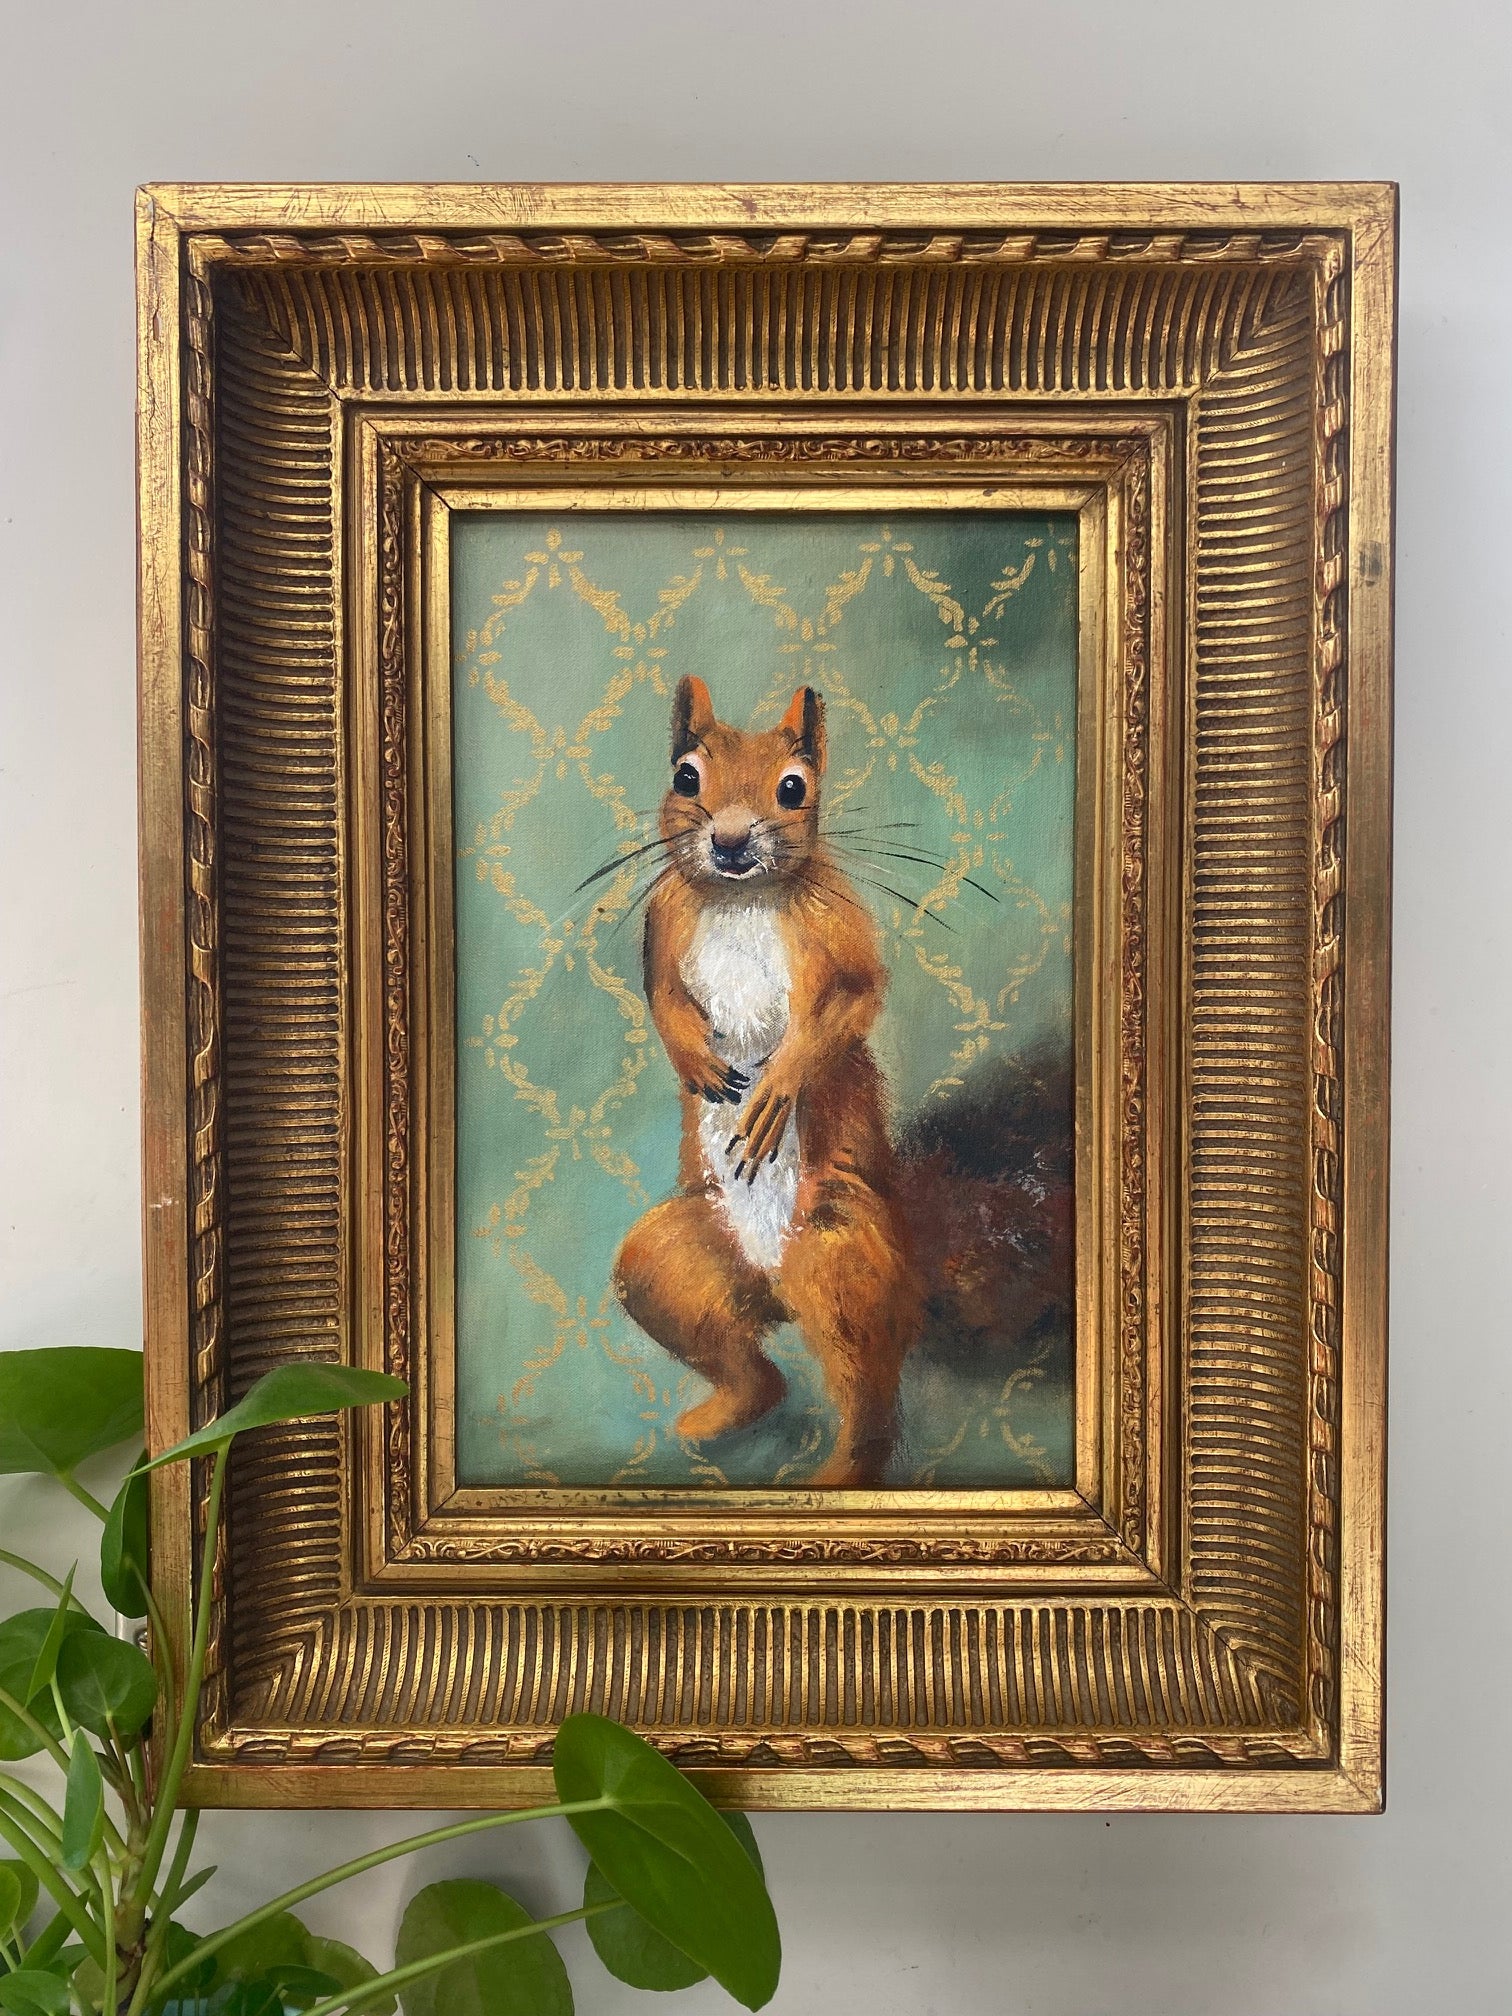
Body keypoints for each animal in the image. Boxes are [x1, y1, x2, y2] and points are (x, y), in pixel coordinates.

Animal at [612, 675, 922, 1488]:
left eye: (793, 788)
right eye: (686, 776)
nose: (728, 842)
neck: (738, 898)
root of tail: (773, 1291)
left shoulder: (834, 923)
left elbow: (855, 998)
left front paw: (776, 1087)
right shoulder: (664, 919)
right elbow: (661, 997)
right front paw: (694, 1061)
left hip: (841, 1255)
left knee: (869, 1395)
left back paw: (842, 1476)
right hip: (670, 1265)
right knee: (750, 1368)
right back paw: (721, 1417)